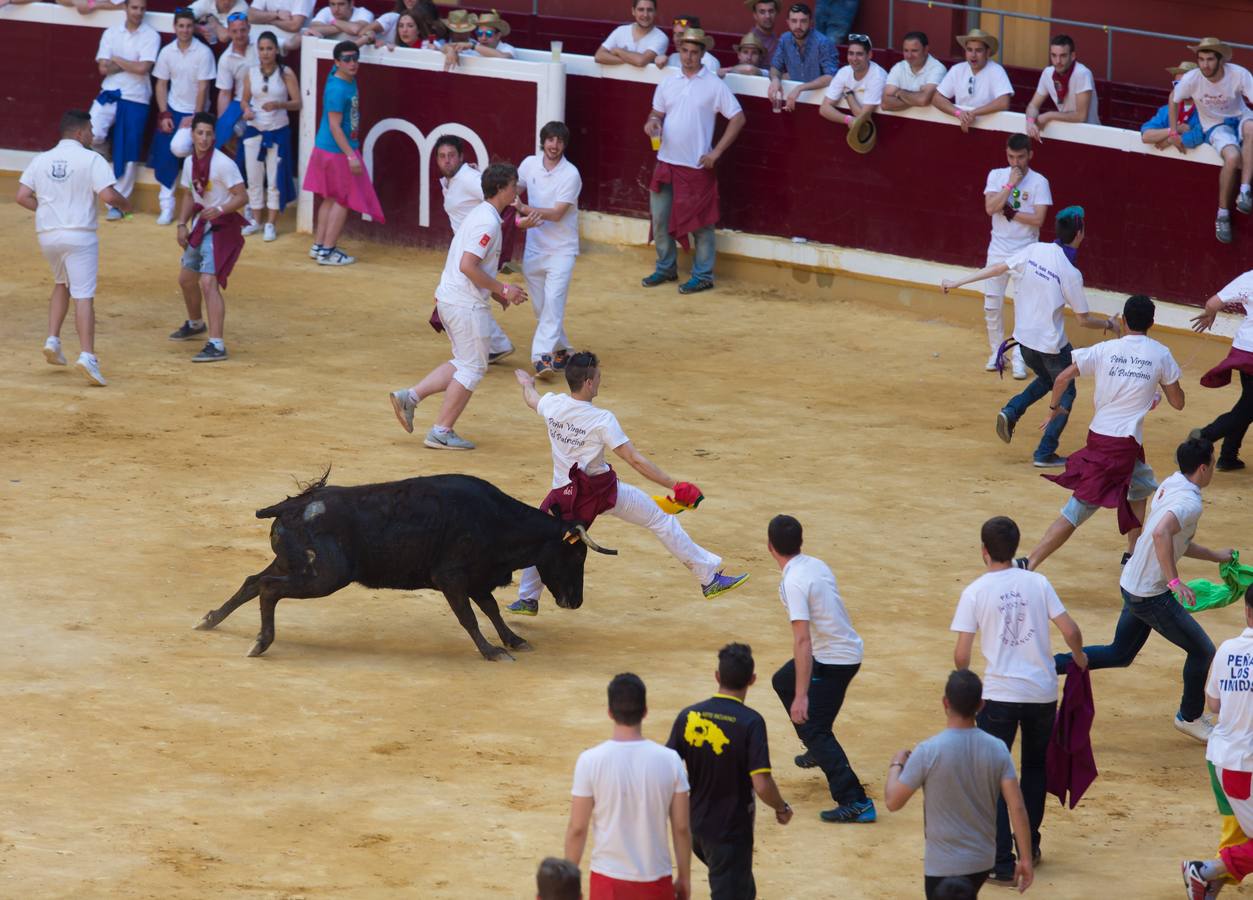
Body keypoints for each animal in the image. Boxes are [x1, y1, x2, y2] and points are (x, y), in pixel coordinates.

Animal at [194, 471, 616, 661]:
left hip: (296, 565)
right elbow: (470, 618)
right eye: (577, 555)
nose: (575, 601)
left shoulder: (476, 579)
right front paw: (491, 651)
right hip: (324, 577)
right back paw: (260, 642)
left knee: (253, 581)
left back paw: (210, 620)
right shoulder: (451, 578)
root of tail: (293, 506)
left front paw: (513, 640)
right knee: (268, 588)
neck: (496, 520)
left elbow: (491, 610)